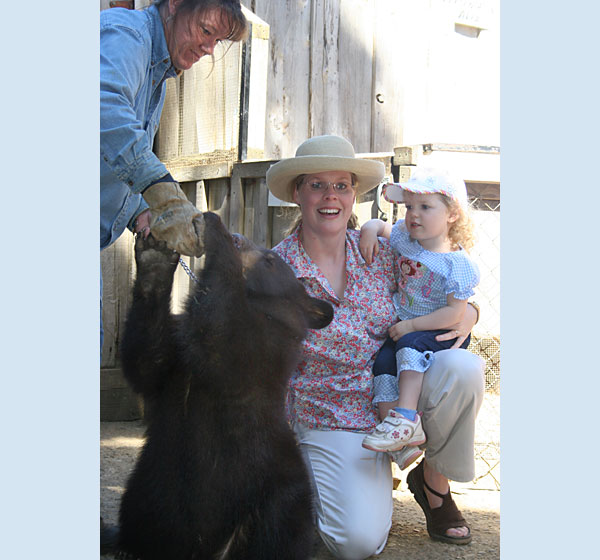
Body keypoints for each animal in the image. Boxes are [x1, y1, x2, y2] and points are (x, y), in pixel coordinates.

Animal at [112, 212, 333, 560]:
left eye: (270, 260)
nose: (239, 236)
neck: (257, 306)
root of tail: (202, 549)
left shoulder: (261, 351)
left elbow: (221, 339)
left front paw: (217, 230)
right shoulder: (176, 359)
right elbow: (148, 361)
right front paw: (154, 257)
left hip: (276, 486)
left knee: (278, 526)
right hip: (152, 484)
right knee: (143, 516)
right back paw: (128, 547)